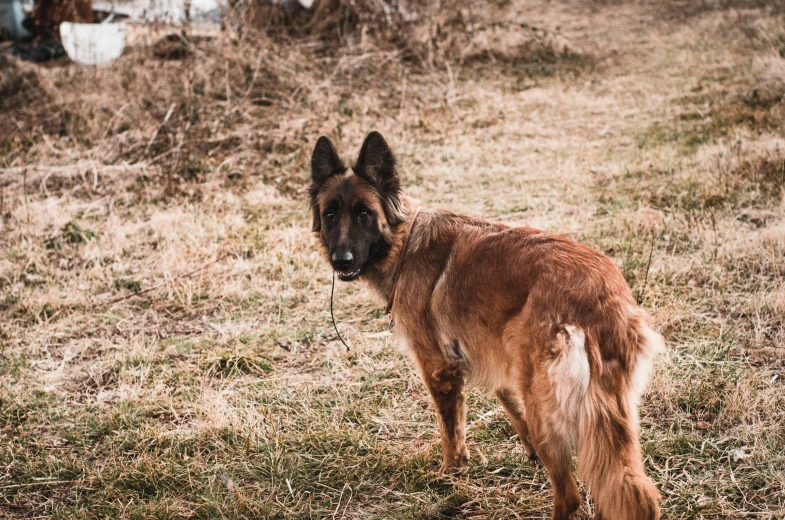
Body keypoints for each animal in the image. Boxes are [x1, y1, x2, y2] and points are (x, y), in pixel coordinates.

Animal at [310, 132, 664, 516]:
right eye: (330, 215)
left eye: (364, 214)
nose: (341, 260)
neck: (404, 244)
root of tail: (602, 294)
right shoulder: (497, 355)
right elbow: (508, 401)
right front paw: (527, 451)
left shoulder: (439, 369)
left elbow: (451, 432)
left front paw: (451, 474)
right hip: (606, 414)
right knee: (631, 490)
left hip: (548, 409)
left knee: (570, 495)